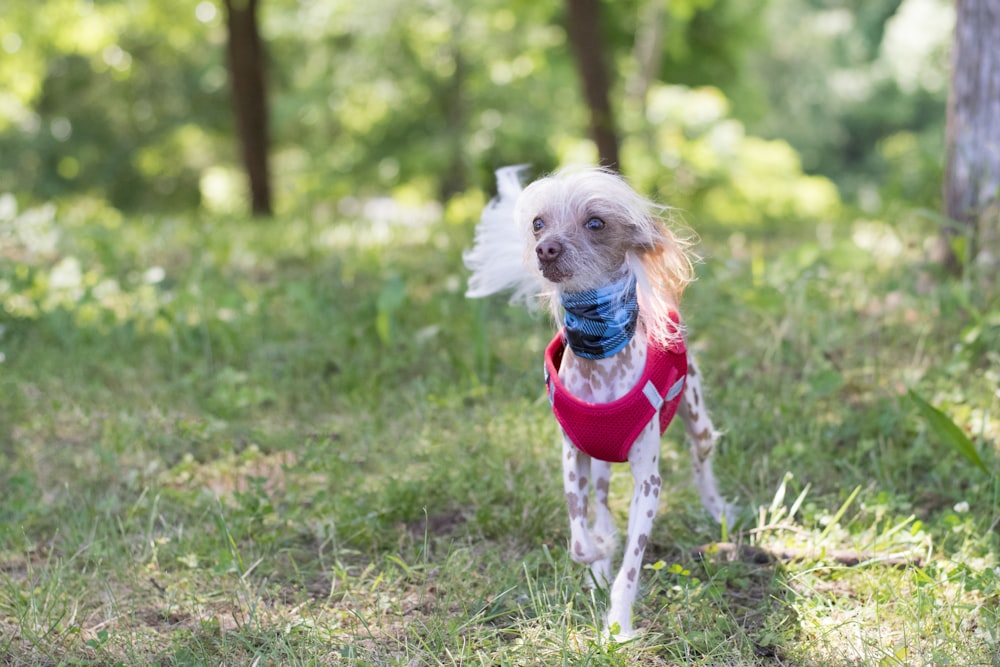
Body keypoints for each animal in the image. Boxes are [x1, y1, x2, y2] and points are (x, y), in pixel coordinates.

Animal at [464, 164, 732, 640]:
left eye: (595, 223)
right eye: (538, 223)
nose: (545, 248)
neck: (599, 356)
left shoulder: (649, 482)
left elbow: (632, 564)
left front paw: (618, 625)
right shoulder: (573, 457)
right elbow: (579, 537)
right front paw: (598, 557)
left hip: (697, 421)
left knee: (702, 464)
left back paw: (717, 512)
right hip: (601, 462)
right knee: (604, 504)